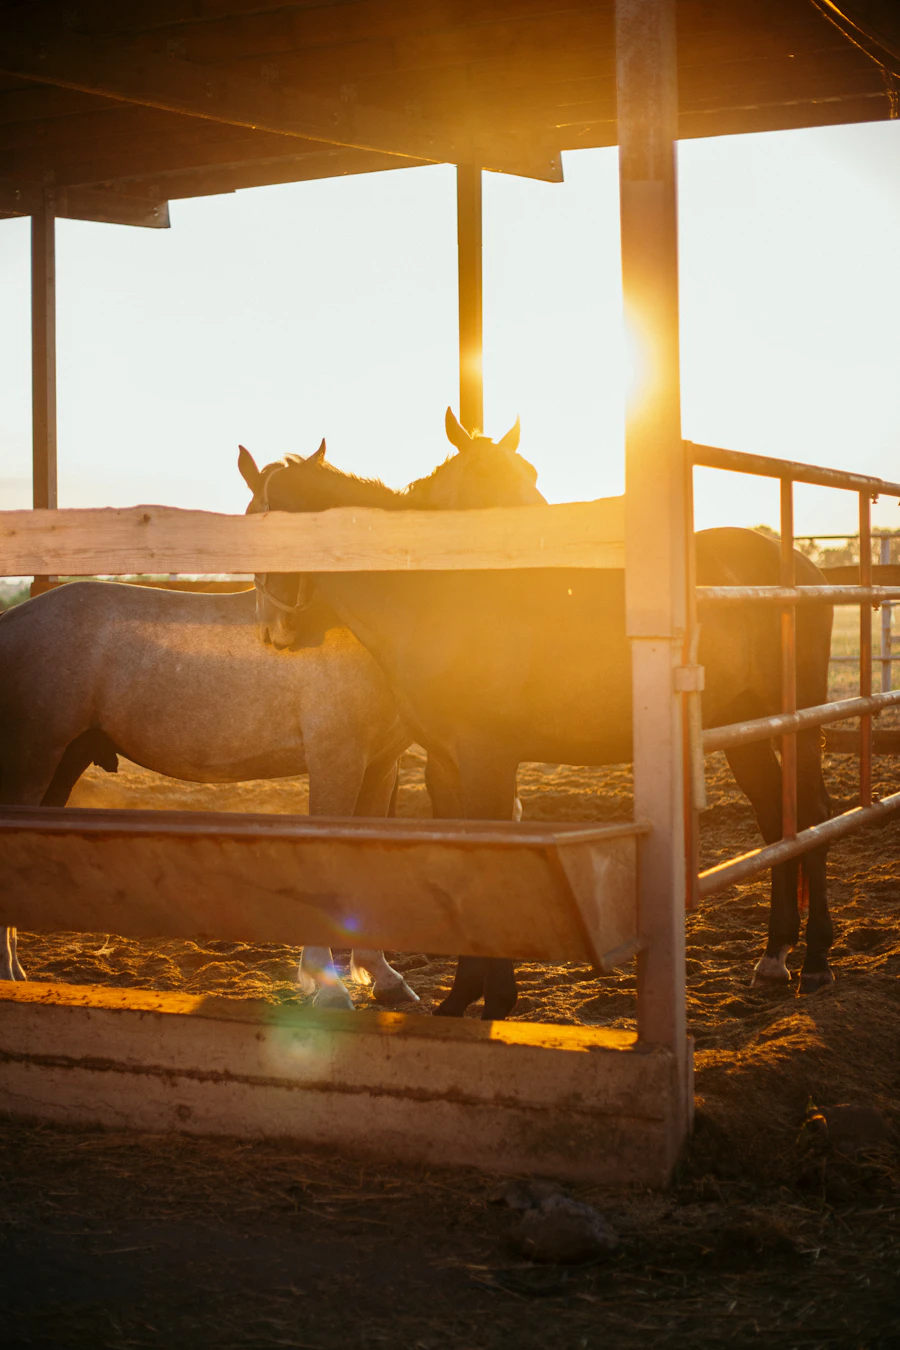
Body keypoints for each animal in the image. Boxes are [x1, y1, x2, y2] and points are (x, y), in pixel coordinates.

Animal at [0, 409, 545, 1003]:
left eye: (531, 474)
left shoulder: (381, 763)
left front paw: (380, 976)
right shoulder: (335, 758)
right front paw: (326, 985)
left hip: (63, 763)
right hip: (31, 764)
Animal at [255, 481, 835, 1020]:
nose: (272, 633)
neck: (441, 602)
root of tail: (798, 563)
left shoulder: (486, 758)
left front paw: (495, 1001)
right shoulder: (450, 764)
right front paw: (461, 999)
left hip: (799, 719)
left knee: (813, 814)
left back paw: (815, 963)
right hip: (744, 725)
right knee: (776, 820)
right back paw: (774, 957)